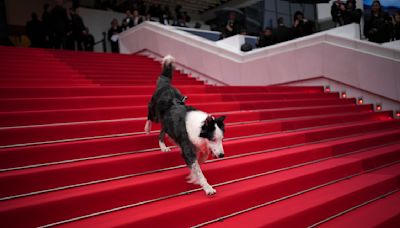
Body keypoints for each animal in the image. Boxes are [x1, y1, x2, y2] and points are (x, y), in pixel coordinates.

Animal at [145, 54, 227, 194]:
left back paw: (163, 147)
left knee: (161, 133)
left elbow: (200, 160)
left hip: (166, 123)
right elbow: (196, 167)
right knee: (150, 115)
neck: (199, 127)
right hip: (155, 112)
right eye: (213, 139)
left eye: (221, 139)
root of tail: (165, 85)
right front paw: (207, 187)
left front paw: (192, 175)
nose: (222, 156)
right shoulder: (187, 146)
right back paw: (147, 128)